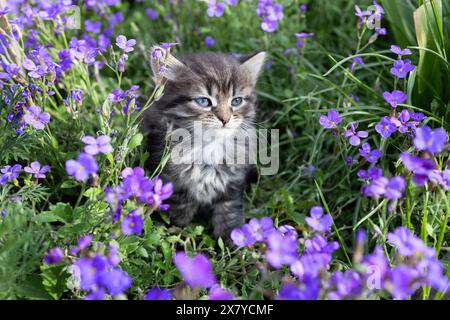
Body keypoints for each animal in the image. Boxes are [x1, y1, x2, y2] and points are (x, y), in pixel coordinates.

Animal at [142, 46, 266, 239]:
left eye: (236, 101)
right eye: (203, 101)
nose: (225, 119)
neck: (209, 146)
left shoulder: (232, 186)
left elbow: (229, 215)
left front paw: (232, 243)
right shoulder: (175, 186)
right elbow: (178, 218)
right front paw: (178, 237)